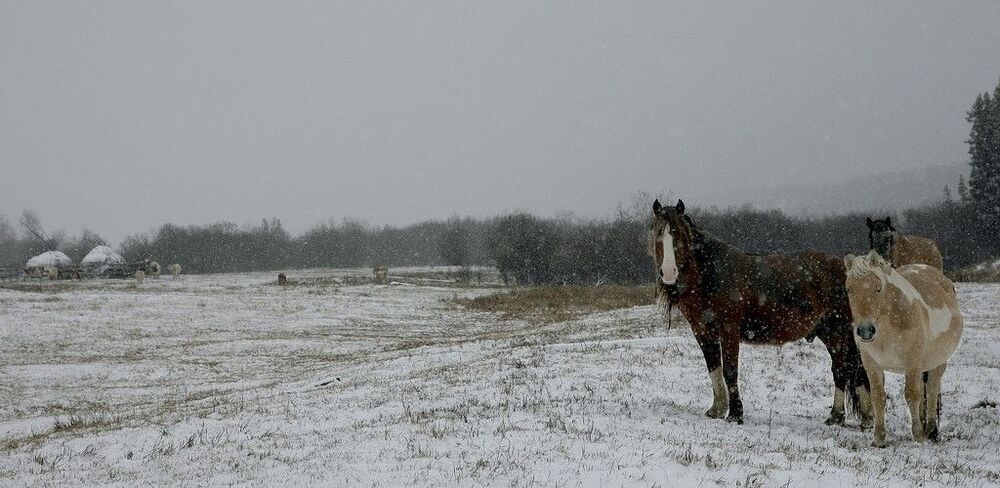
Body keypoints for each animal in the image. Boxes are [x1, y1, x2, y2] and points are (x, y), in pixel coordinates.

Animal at [649, 199, 872, 425]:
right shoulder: (703, 332)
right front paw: (717, 410)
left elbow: (730, 371)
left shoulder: (729, 331)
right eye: (658, 234)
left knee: (842, 369)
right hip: (828, 332)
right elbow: (714, 368)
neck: (711, 275)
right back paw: (865, 418)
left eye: (678, 235)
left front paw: (735, 414)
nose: (668, 273)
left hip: (838, 331)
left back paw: (836, 416)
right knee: (851, 368)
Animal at [844, 250, 963, 447]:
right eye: (849, 290)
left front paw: (918, 435)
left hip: (937, 362)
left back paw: (931, 431)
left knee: (931, 390)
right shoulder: (872, 365)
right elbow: (878, 397)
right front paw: (879, 438)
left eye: (877, 288)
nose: (866, 331)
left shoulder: (912, 363)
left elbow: (912, 395)